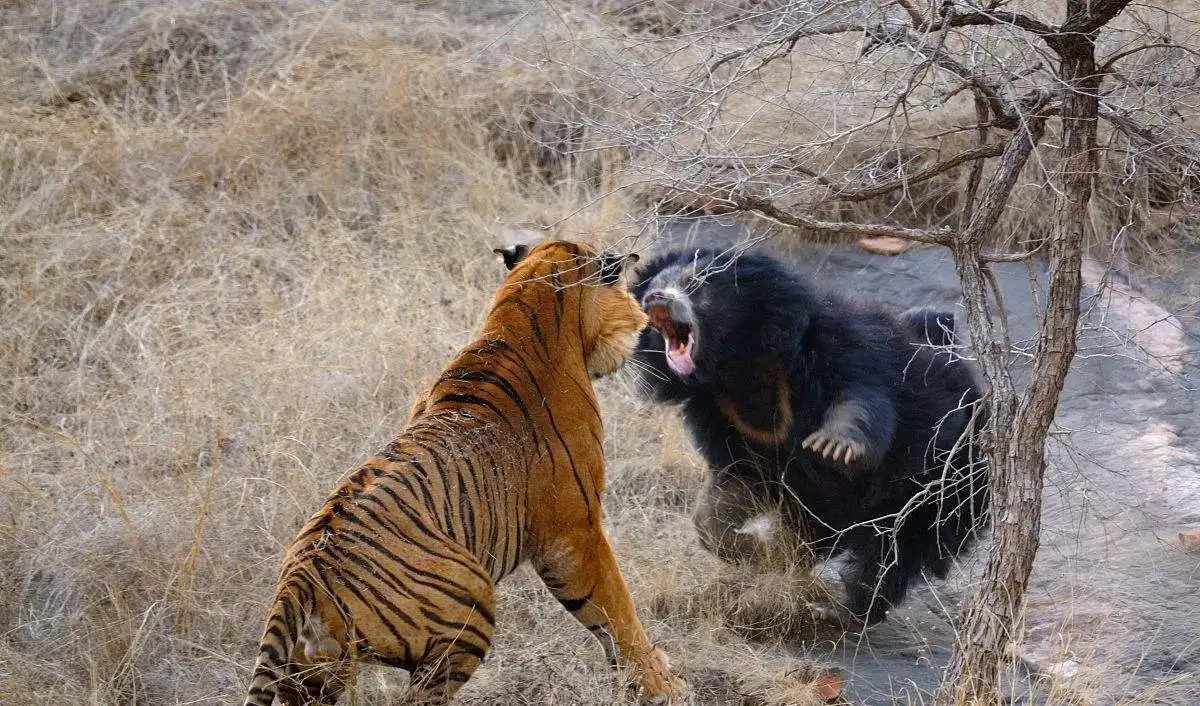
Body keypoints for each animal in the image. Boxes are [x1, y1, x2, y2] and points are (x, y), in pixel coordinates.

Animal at [241, 240, 686, 701]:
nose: (643, 322)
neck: (520, 315)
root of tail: (298, 580)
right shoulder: (576, 532)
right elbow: (617, 612)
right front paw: (663, 686)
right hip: (471, 605)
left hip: (315, 672)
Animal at [633, 247, 988, 624]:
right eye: (652, 288)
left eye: (695, 284)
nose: (655, 299)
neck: (737, 365)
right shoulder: (723, 416)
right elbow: (733, 487)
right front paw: (756, 550)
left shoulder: (836, 349)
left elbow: (861, 400)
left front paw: (833, 446)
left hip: (944, 484)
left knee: (893, 554)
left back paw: (841, 610)